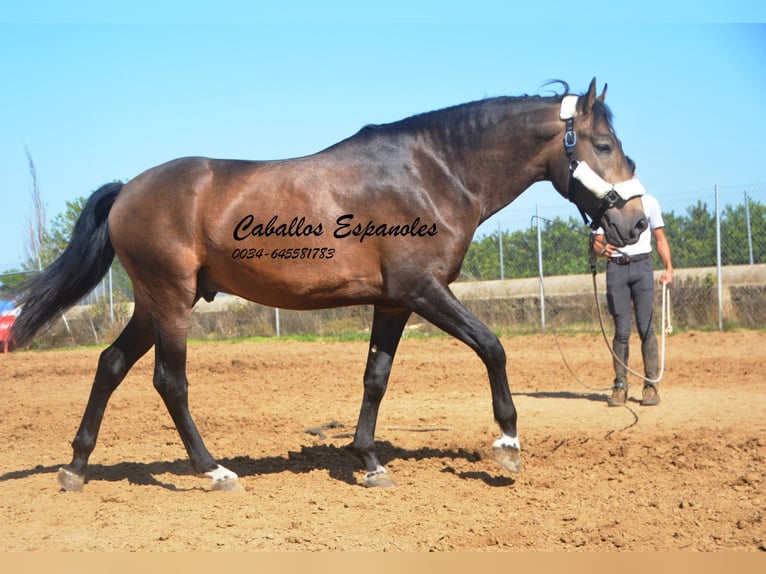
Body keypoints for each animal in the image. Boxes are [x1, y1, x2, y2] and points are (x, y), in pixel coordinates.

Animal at [10, 79, 648, 492]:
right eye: (603, 145)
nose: (636, 224)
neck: (432, 173)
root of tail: (128, 190)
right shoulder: (423, 290)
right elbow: (492, 346)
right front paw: (508, 445)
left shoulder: (393, 302)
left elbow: (375, 379)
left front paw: (369, 462)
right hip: (169, 301)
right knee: (170, 381)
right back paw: (213, 471)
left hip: (155, 301)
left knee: (111, 364)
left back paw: (76, 468)